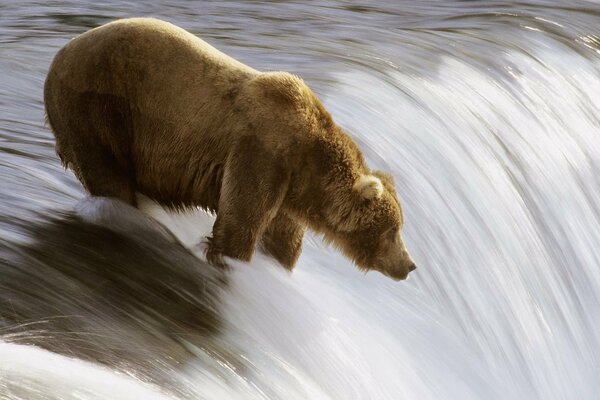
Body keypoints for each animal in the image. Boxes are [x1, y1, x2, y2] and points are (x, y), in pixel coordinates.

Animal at [43, 18, 418, 280]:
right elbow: (240, 222)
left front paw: (278, 266)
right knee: (108, 175)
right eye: (392, 230)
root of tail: (60, 53)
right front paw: (230, 261)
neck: (307, 163)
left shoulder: (288, 189)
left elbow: (282, 240)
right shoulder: (261, 152)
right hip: (99, 107)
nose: (410, 264)